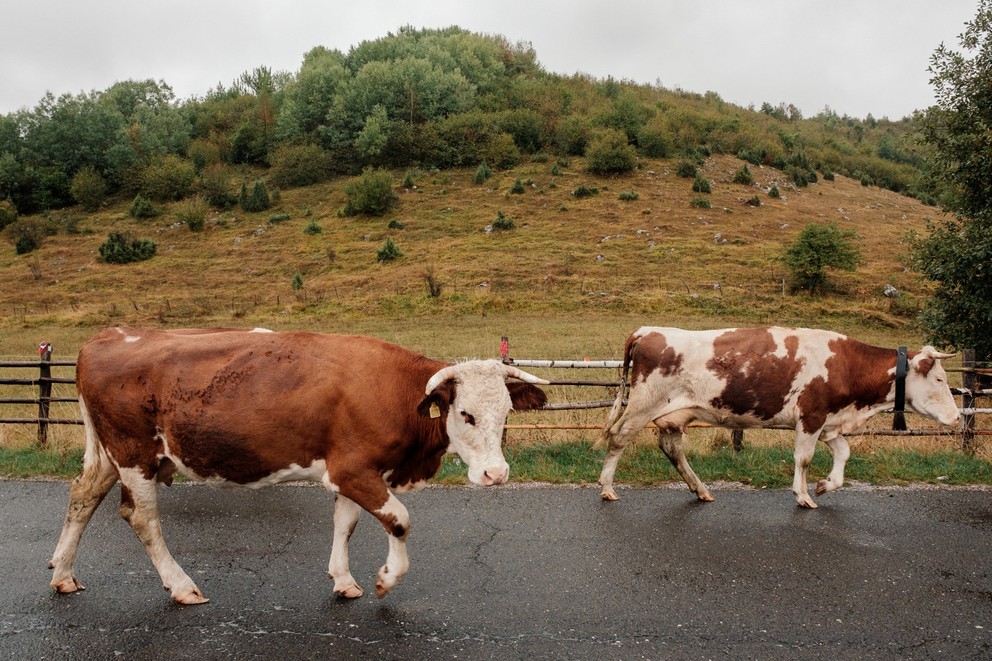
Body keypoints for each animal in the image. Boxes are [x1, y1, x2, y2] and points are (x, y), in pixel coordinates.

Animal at [50, 326, 548, 604]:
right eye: (465, 414)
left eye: (506, 412)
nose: (496, 474)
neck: (393, 390)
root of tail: (107, 336)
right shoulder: (354, 471)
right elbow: (399, 521)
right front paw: (387, 579)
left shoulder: (351, 469)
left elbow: (346, 524)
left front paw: (344, 581)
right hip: (134, 454)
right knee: (142, 517)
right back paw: (181, 585)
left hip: (111, 455)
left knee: (83, 495)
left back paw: (63, 575)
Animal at [596, 324, 960, 506]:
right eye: (940, 380)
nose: (957, 418)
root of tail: (647, 330)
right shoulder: (811, 416)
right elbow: (803, 458)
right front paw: (803, 495)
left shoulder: (829, 422)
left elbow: (844, 453)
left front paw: (826, 485)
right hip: (643, 404)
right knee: (618, 438)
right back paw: (607, 487)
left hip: (674, 414)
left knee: (673, 449)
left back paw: (700, 490)